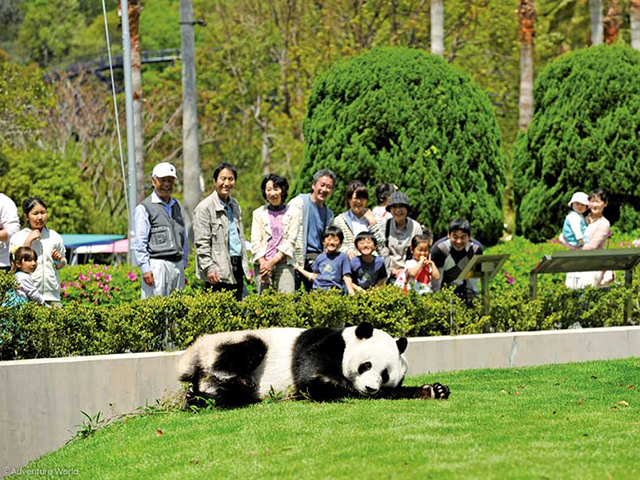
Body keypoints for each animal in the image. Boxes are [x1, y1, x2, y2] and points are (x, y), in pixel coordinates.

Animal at [178, 320, 450, 406]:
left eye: (385, 375)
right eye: (366, 365)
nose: (370, 388)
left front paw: (433, 390)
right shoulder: (323, 344)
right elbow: (311, 378)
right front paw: (337, 385)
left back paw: (200, 396)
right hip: (225, 342)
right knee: (247, 350)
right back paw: (230, 377)